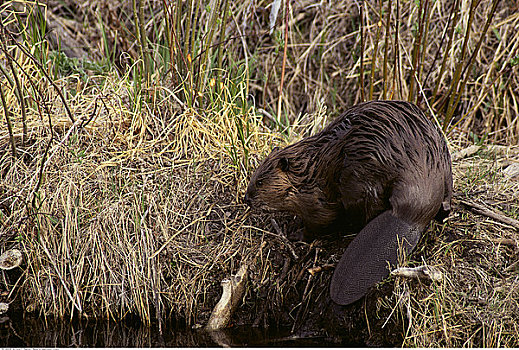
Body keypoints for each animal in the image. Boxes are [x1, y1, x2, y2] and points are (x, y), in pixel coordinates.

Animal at [246, 100, 452, 304]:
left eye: (260, 182)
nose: (246, 199)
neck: (308, 171)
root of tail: (409, 215)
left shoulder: (316, 199)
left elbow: (320, 222)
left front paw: (294, 234)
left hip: (358, 182)